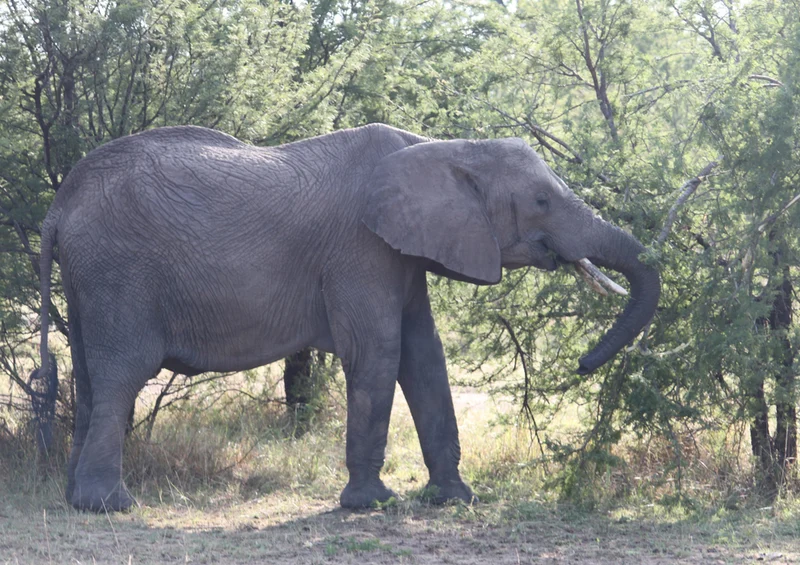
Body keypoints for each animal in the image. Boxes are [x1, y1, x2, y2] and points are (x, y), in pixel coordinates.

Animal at [35, 123, 660, 512]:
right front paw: (372, 505)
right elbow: (380, 352)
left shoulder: (403, 251)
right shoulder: (361, 250)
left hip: (90, 280)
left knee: (89, 378)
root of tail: (59, 207)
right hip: (119, 274)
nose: (583, 365)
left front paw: (456, 500)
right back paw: (110, 507)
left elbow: (425, 356)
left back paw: (72, 500)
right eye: (542, 202)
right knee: (121, 376)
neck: (442, 147)